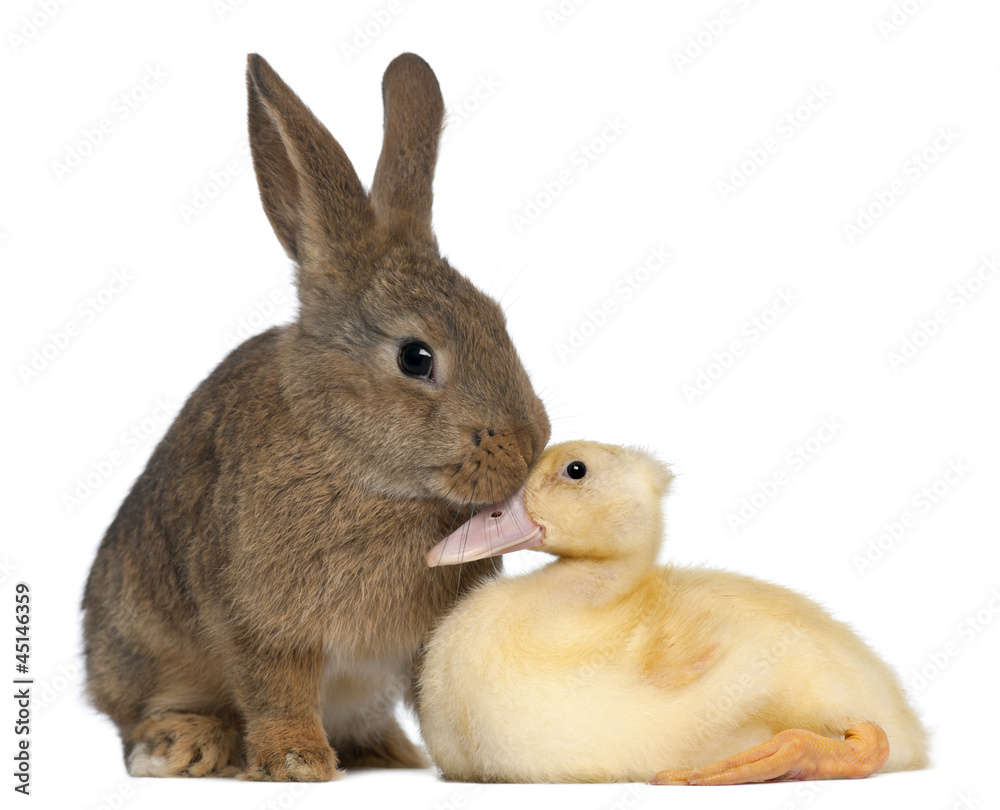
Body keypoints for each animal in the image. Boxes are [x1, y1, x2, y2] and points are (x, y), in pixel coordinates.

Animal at [81, 52, 550, 782]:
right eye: (416, 357)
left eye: (499, 322)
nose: (531, 446)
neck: (356, 464)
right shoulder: (260, 622)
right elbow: (276, 688)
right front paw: (296, 762)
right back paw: (182, 746)